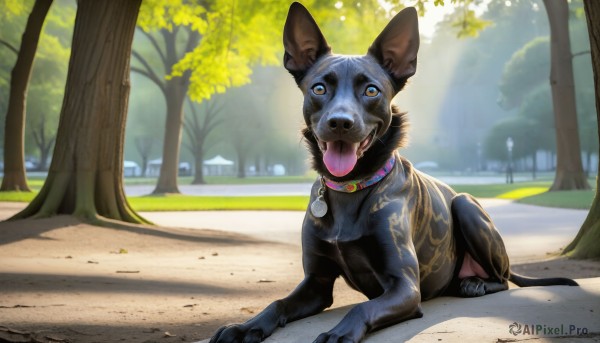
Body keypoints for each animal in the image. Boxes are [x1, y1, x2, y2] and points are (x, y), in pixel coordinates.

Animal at [210, 2, 576, 342]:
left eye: (371, 90)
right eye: (319, 88)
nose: (340, 123)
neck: (351, 188)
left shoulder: (405, 286)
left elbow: (362, 307)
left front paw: (338, 334)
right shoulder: (317, 283)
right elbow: (277, 303)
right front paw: (244, 327)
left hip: (466, 205)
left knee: (502, 279)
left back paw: (475, 284)